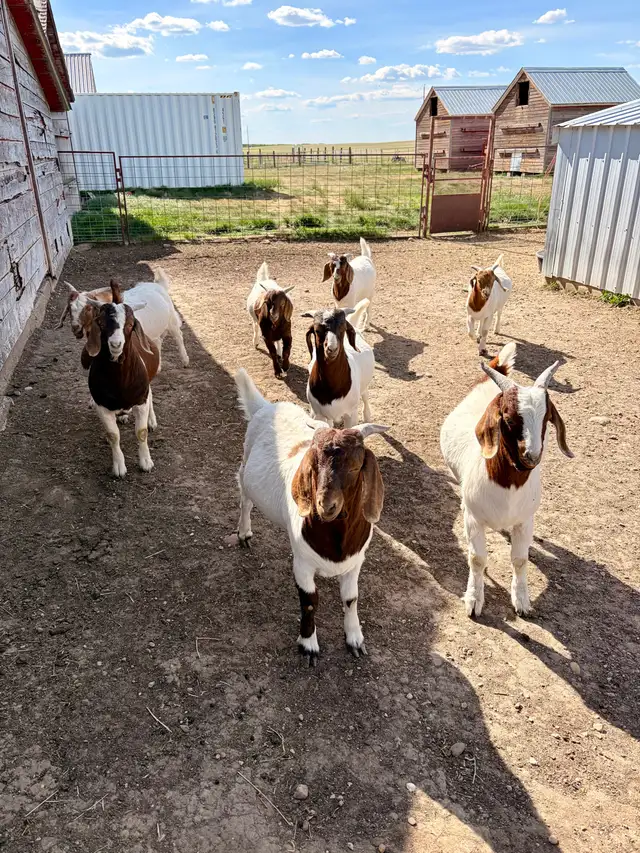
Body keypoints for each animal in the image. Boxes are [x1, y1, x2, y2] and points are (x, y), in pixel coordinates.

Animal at [59, 268, 189, 370]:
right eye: (69, 308)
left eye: (88, 308)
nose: (75, 327)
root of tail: (158, 285)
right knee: (157, 342)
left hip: (171, 320)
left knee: (178, 335)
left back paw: (185, 360)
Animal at [82, 282, 160, 478]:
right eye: (101, 323)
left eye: (131, 324)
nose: (116, 344)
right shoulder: (101, 405)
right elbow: (113, 435)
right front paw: (119, 467)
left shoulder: (141, 398)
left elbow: (141, 432)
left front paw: (146, 462)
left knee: (151, 395)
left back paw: (151, 420)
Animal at [234, 367, 388, 664]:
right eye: (313, 462)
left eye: (356, 466)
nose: (325, 505)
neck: (336, 541)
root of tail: (266, 406)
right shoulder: (303, 563)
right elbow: (309, 602)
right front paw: (308, 645)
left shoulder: (355, 563)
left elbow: (351, 599)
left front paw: (355, 639)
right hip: (246, 465)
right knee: (244, 497)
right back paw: (244, 532)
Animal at [303, 299, 374, 428]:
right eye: (317, 330)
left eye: (343, 328)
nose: (332, 349)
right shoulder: (318, 414)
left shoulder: (351, 414)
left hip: (364, 384)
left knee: (365, 395)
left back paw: (367, 417)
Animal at [440, 342, 573, 617]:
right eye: (509, 419)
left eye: (546, 419)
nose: (531, 456)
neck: (508, 487)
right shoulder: (475, 520)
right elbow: (477, 558)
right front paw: (474, 600)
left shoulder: (525, 521)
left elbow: (520, 559)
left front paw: (521, 600)